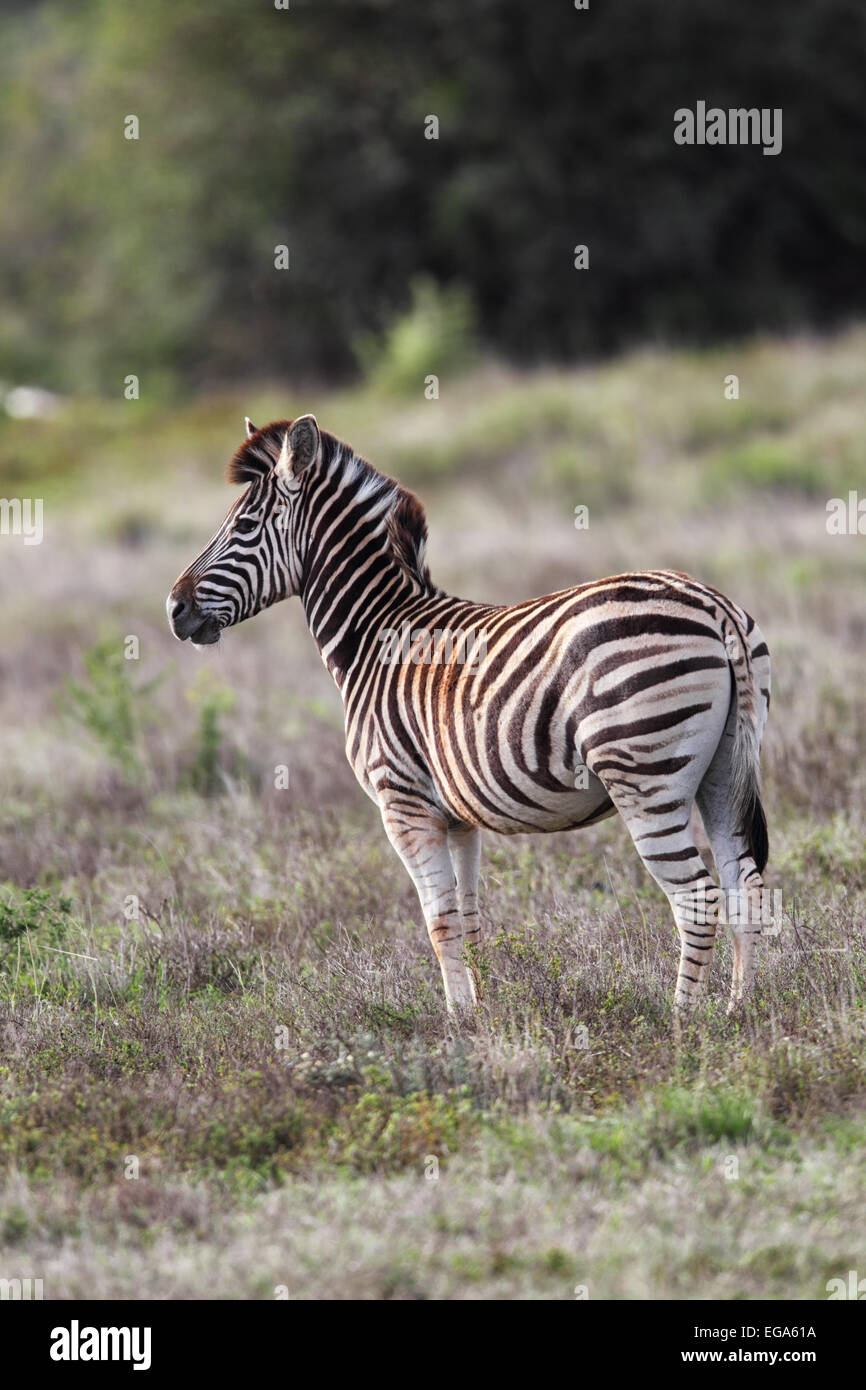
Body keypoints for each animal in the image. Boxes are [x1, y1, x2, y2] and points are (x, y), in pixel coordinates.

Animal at [167, 417, 772, 1017]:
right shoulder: (458, 816)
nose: (174, 608)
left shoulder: (403, 805)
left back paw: (683, 1022)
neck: (376, 636)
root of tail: (712, 605)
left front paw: (457, 1020)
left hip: (644, 777)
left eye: (244, 525)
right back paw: (740, 1014)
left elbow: (438, 922)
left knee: (697, 897)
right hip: (724, 770)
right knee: (744, 886)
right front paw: (486, 1014)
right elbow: (470, 919)